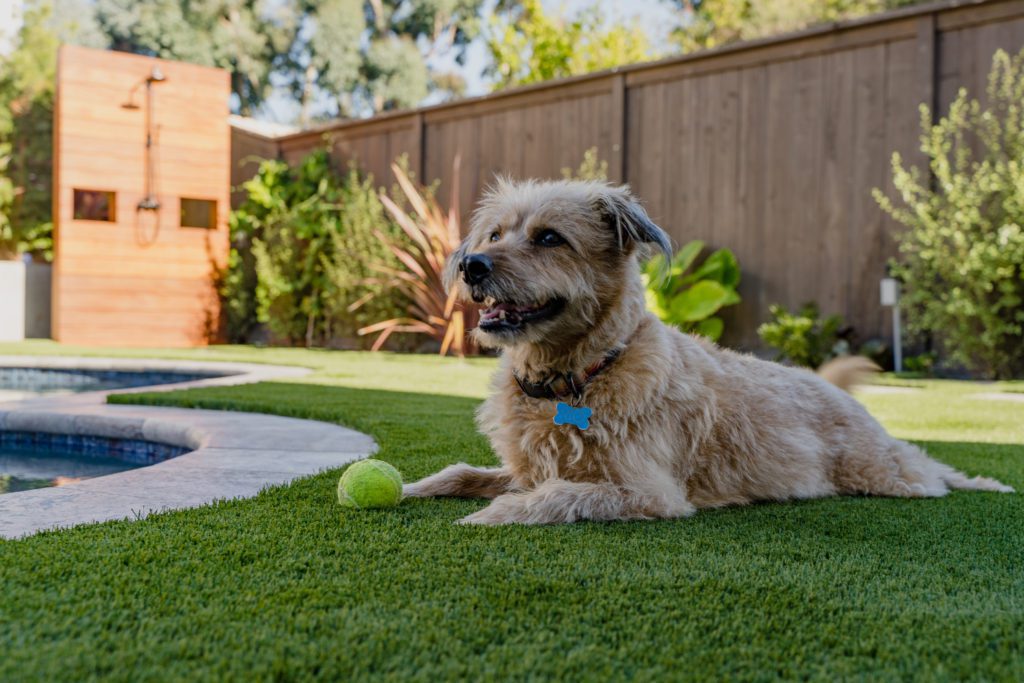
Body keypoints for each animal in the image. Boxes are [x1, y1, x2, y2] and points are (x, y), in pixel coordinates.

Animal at [401, 179, 1015, 528]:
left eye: (550, 237)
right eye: (494, 234)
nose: (470, 265)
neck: (577, 375)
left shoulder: (649, 492)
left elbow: (555, 497)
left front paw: (493, 515)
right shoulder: (525, 467)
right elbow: (461, 471)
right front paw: (411, 488)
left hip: (881, 471)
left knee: (930, 469)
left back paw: (983, 483)